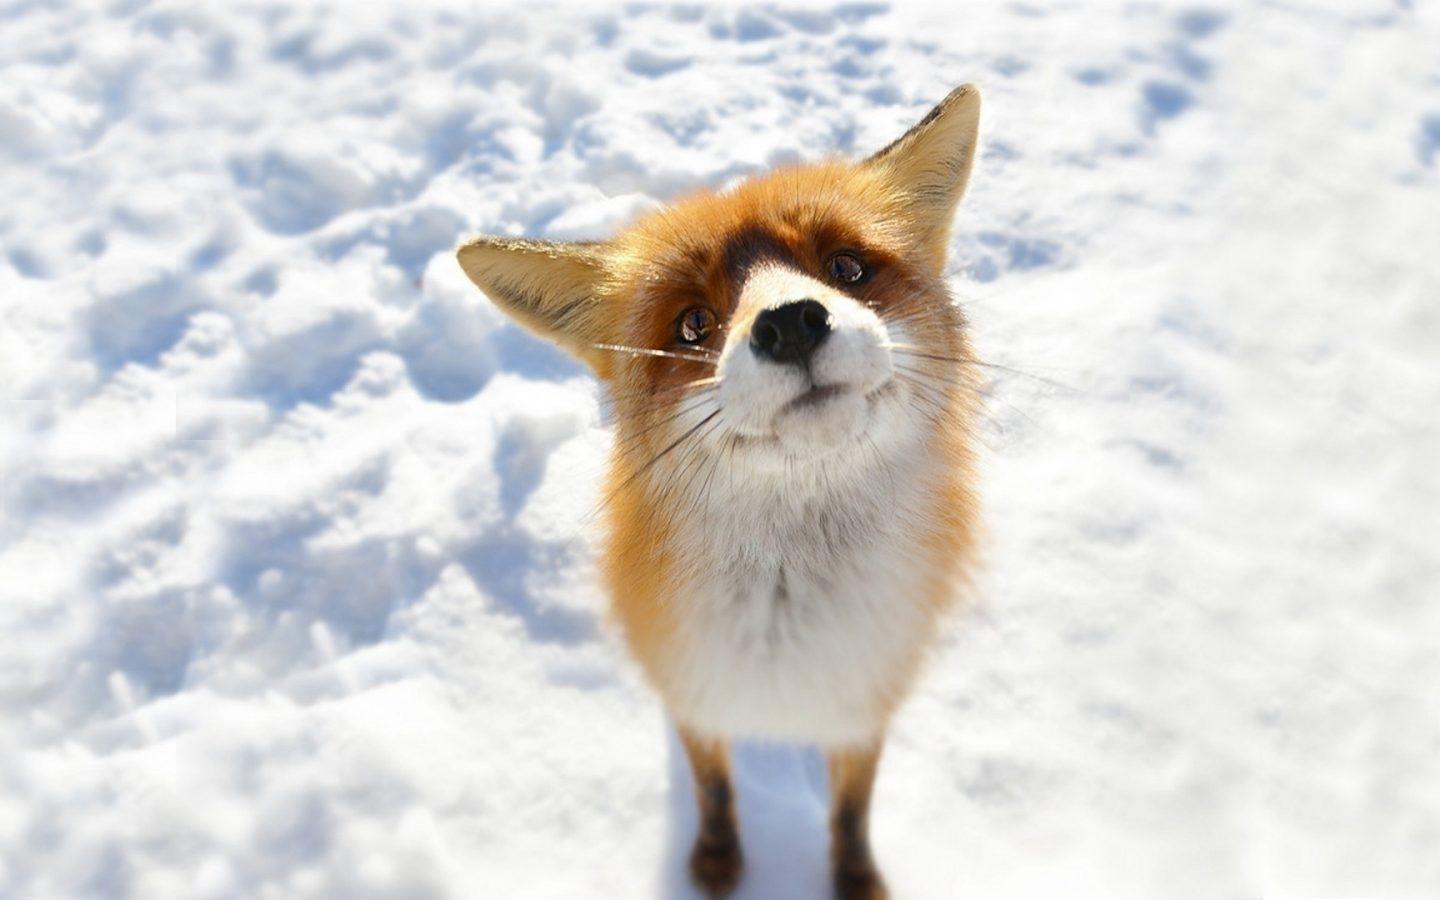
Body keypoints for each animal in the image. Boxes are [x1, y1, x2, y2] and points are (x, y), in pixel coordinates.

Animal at [456, 84, 982, 900]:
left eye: (846, 267)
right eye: (692, 323)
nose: (792, 324)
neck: (789, 628)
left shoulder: (866, 703)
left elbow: (850, 812)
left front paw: (855, 880)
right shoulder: (693, 693)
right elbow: (713, 788)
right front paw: (715, 863)